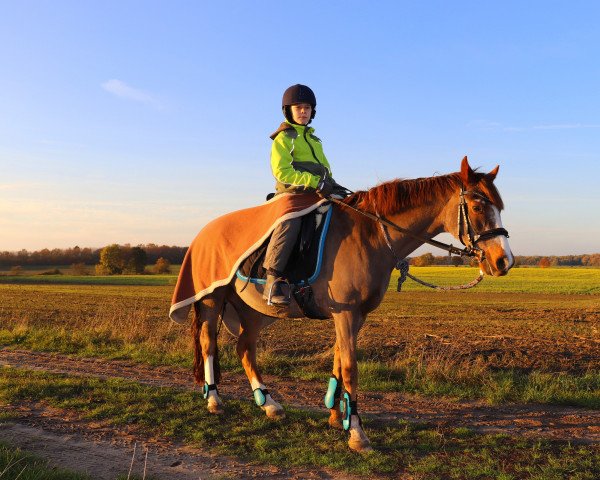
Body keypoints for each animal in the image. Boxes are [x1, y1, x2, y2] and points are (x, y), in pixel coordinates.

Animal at [182, 157, 510, 450]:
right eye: (478, 206)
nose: (503, 261)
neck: (370, 235)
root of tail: (204, 232)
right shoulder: (346, 314)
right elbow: (351, 367)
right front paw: (356, 433)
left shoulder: (355, 316)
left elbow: (339, 360)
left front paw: (335, 414)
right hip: (212, 299)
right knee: (209, 343)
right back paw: (214, 399)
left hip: (251, 309)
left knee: (245, 348)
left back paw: (269, 403)